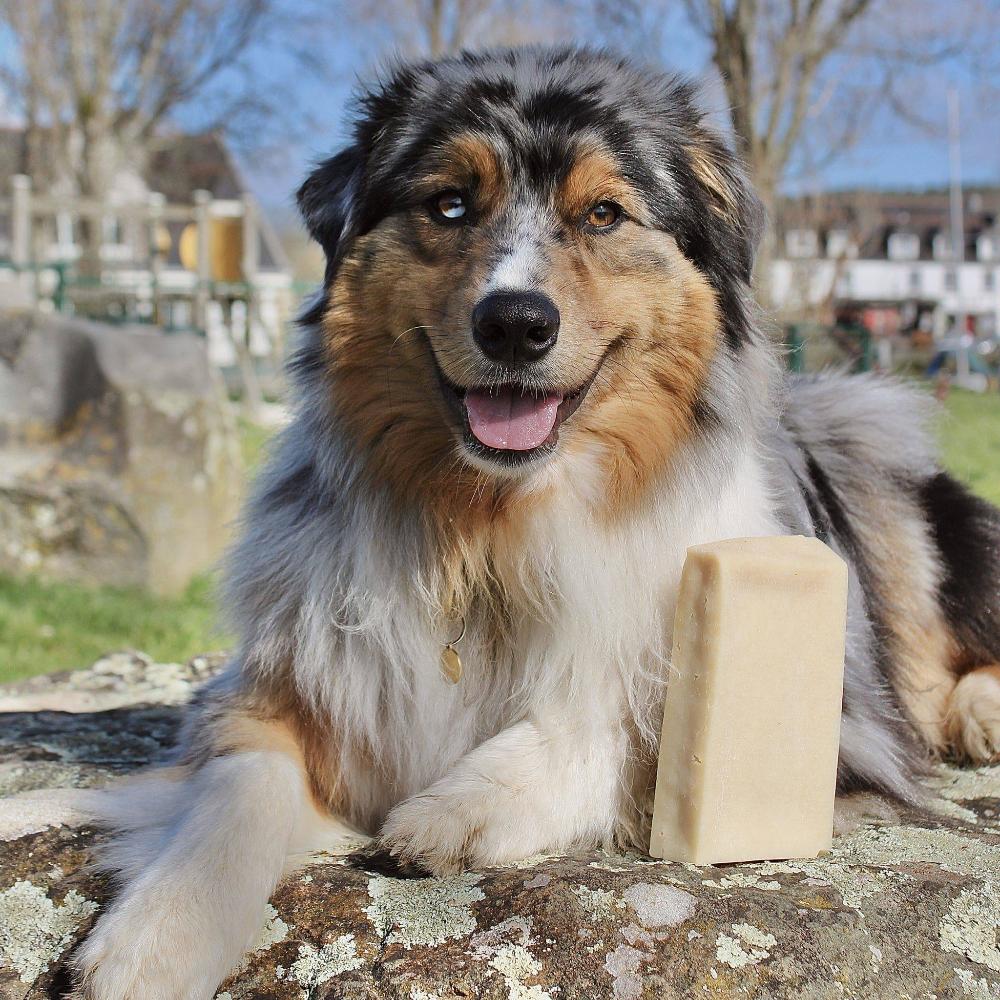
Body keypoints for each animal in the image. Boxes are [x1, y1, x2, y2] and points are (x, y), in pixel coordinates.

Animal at [74, 48, 1000, 1000]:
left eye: (603, 214)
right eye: (449, 203)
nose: (515, 323)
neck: (492, 526)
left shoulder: (843, 727)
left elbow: (626, 732)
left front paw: (455, 807)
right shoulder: (273, 689)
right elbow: (235, 791)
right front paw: (159, 937)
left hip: (870, 447)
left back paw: (980, 713)